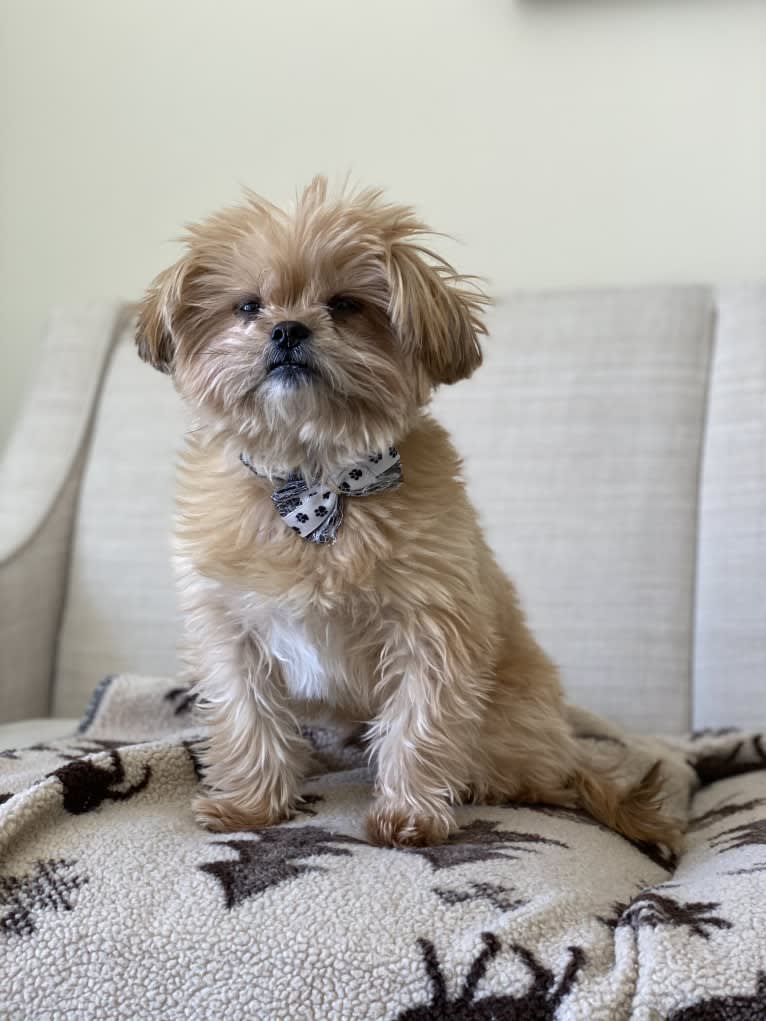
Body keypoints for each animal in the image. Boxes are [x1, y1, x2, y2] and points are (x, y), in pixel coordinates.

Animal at [134, 179, 682, 849]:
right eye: (247, 306)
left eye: (345, 304)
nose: (287, 329)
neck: (317, 478)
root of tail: (567, 749)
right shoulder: (229, 631)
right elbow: (246, 719)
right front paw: (250, 805)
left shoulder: (431, 628)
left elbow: (419, 723)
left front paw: (410, 815)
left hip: (507, 729)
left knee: (532, 780)